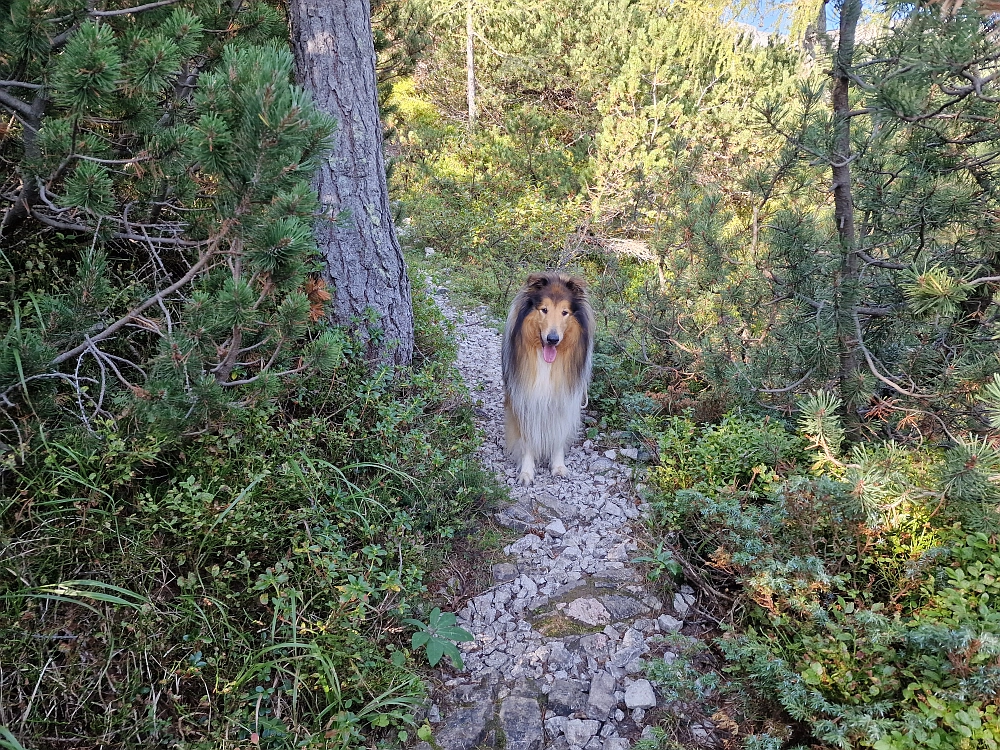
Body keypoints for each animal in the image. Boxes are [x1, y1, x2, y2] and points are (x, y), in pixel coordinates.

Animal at [504, 274, 588, 484]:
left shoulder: (563, 401)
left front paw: (558, 467)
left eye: (565, 312)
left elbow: (558, 435)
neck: (547, 362)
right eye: (544, 309)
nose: (552, 339)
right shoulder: (524, 400)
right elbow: (527, 440)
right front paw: (526, 472)